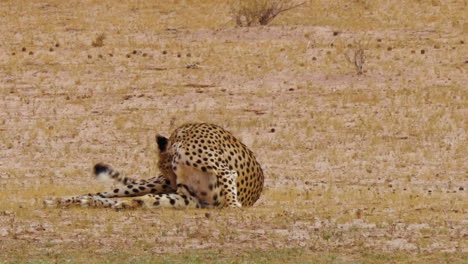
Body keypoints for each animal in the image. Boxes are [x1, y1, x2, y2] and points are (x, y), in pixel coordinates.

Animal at [45, 122, 266, 209]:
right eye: (167, 171)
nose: (172, 183)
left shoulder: (200, 195)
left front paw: (233, 205)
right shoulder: (190, 196)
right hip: (148, 184)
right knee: (100, 194)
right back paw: (61, 200)